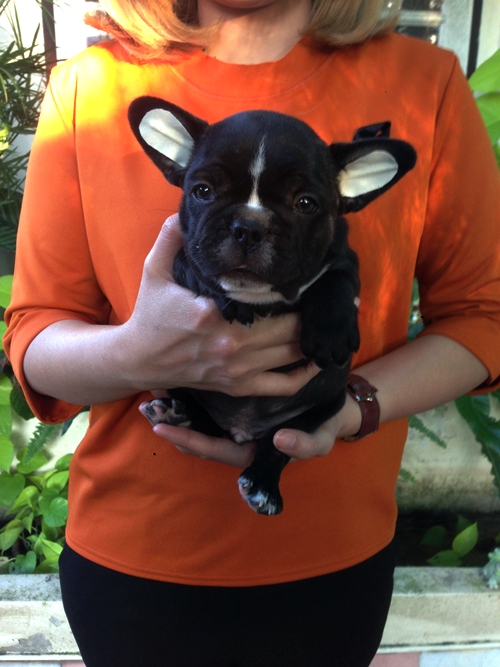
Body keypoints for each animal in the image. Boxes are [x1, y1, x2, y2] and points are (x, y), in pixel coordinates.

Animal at [128, 98, 416, 515]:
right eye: (202, 191)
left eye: (306, 204)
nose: (249, 226)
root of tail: (242, 429)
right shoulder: (183, 256)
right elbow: (195, 268)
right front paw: (230, 298)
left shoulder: (345, 258)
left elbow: (336, 281)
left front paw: (330, 333)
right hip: (174, 376)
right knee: (205, 420)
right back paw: (177, 415)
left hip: (324, 404)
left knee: (278, 441)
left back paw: (263, 483)